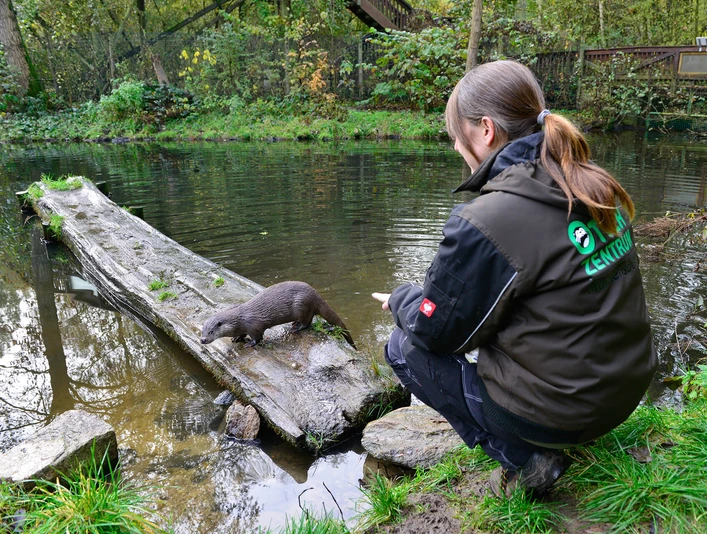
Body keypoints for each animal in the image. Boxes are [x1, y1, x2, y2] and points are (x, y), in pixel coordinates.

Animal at [200, 281, 356, 349]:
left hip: (301, 304)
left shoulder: (254, 326)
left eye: (211, 331)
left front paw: (250, 343)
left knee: (308, 322)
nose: (202, 340)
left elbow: (258, 337)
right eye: (202, 331)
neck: (240, 319)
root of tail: (315, 294)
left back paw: (296, 328)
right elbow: (242, 334)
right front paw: (237, 337)